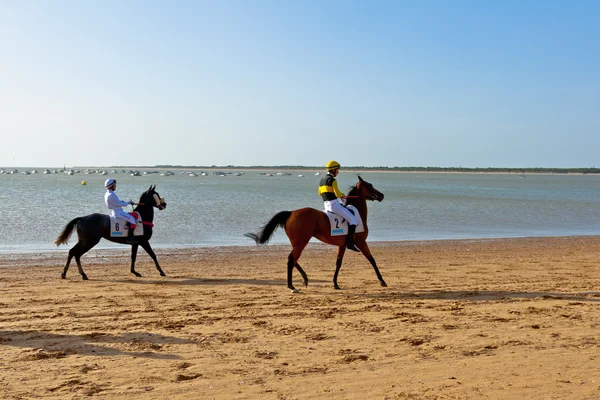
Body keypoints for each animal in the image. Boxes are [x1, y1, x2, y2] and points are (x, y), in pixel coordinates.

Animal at [246, 177, 386, 292]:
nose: (382, 195)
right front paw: (382, 281)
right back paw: (292, 286)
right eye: (369, 185)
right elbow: (372, 259)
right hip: (302, 242)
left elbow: (338, 263)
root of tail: (291, 213)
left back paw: (305, 279)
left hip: (298, 243)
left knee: (293, 259)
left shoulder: (342, 245)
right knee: (291, 259)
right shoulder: (361, 242)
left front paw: (335, 283)